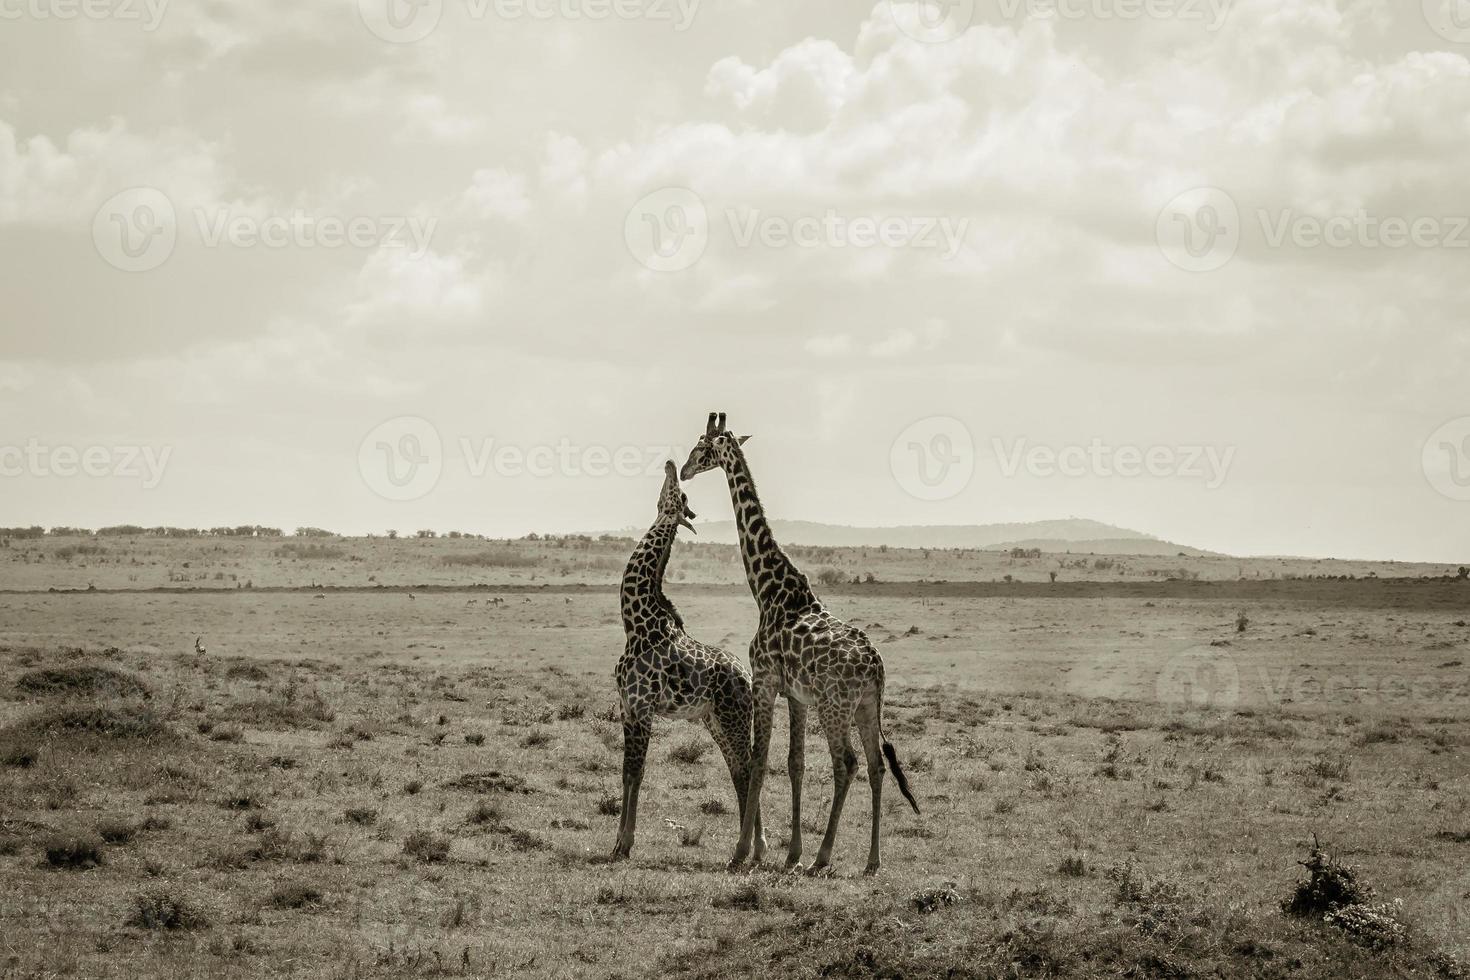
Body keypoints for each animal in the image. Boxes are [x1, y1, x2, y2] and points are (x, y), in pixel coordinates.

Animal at [614, 464, 764, 863]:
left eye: (680, 496)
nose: (670, 465)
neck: (636, 623)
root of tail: (748, 678)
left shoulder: (643, 707)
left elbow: (638, 771)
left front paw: (626, 843)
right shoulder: (626, 707)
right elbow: (627, 772)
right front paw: (617, 842)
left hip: (734, 717)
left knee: (749, 768)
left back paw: (755, 847)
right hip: (714, 720)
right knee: (739, 770)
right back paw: (748, 846)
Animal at [679, 411, 911, 875]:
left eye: (701, 446)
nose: (684, 470)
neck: (768, 590)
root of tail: (876, 668)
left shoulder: (766, 681)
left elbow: (759, 759)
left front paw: (743, 851)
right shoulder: (797, 696)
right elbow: (795, 764)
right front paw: (790, 853)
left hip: (835, 705)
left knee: (847, 764)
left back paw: (824, 857)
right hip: (866, 706)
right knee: (876, 765)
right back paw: (871, 860)